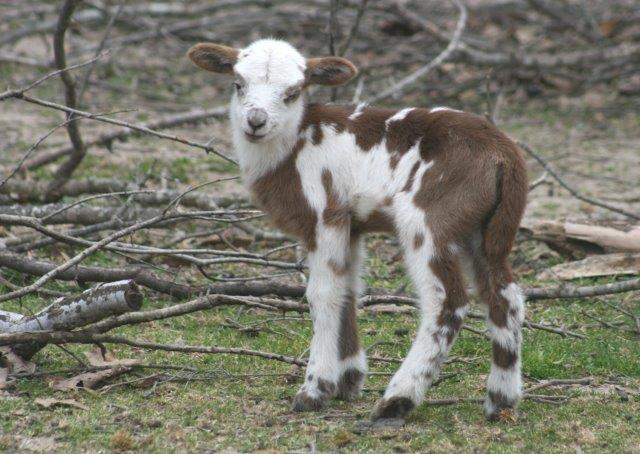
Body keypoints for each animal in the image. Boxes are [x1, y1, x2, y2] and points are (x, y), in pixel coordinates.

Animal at [188, 39, 528, 422]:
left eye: (293, 92)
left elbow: (322, 294)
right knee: (504, 295)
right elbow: (348, 291)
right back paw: (501, 399)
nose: (255, 122)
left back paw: (398, 399)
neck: (293, 147)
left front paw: (315, 389)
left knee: (447, 300)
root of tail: (504, 155)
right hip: (487, 227)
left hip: (429, 216)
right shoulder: (351, 224)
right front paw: (348, 380)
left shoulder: (326, 213)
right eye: (237, 83)